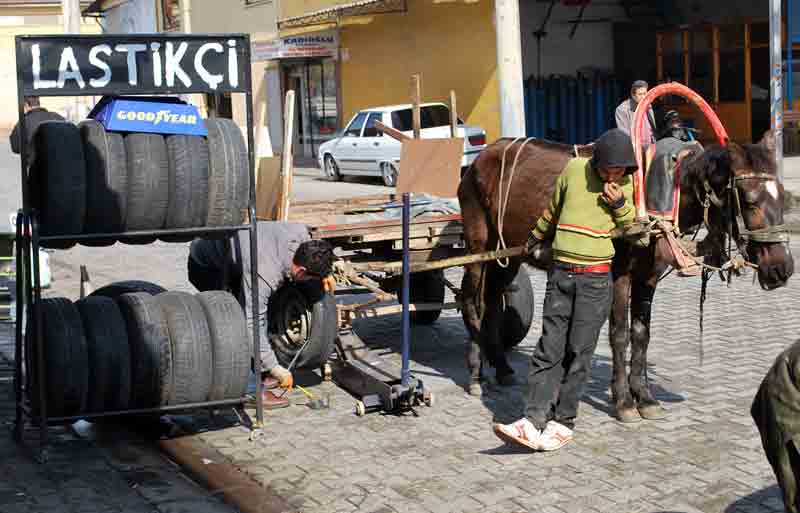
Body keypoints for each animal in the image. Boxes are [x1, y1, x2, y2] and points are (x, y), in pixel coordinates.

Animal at [456, 132, 792, 420]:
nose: (782, 268)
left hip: (508, 254)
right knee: (473, 302)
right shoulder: (618, 275)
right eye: (749, 200)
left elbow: (641, 334)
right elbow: (619, 334)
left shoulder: (648, 276)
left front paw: (645, 397)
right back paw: (475, 375)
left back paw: (501, 368)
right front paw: (624, 401)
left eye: (783, 198)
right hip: (478, 245)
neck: (656, 198)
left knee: (492, 300)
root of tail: (480, 158)